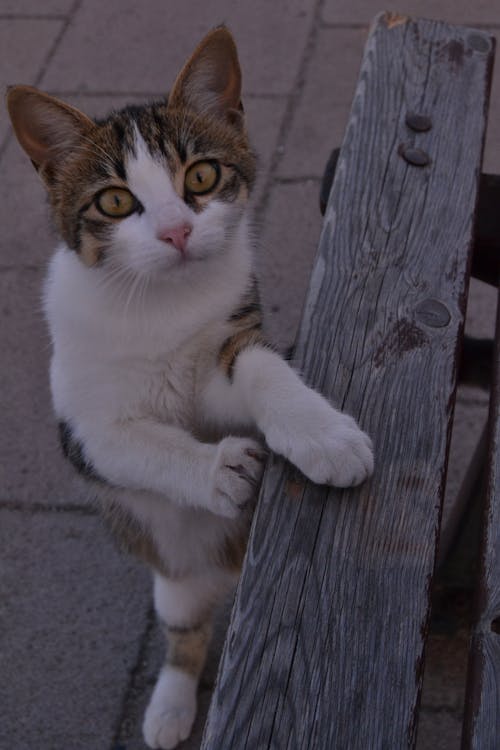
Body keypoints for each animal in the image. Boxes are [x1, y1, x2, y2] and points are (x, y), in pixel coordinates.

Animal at [5, 25, 374, 750]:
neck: (158, 304)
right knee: (185, 629)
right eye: (115, 200)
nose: (177, 231)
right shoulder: (82, 431)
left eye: (201, 176)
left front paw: (323, 435)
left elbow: (258, 369)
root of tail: (231, 567)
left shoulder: (229, 338)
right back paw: (170, 708)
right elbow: (138, 445)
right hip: (172, 580)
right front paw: (220, 470)